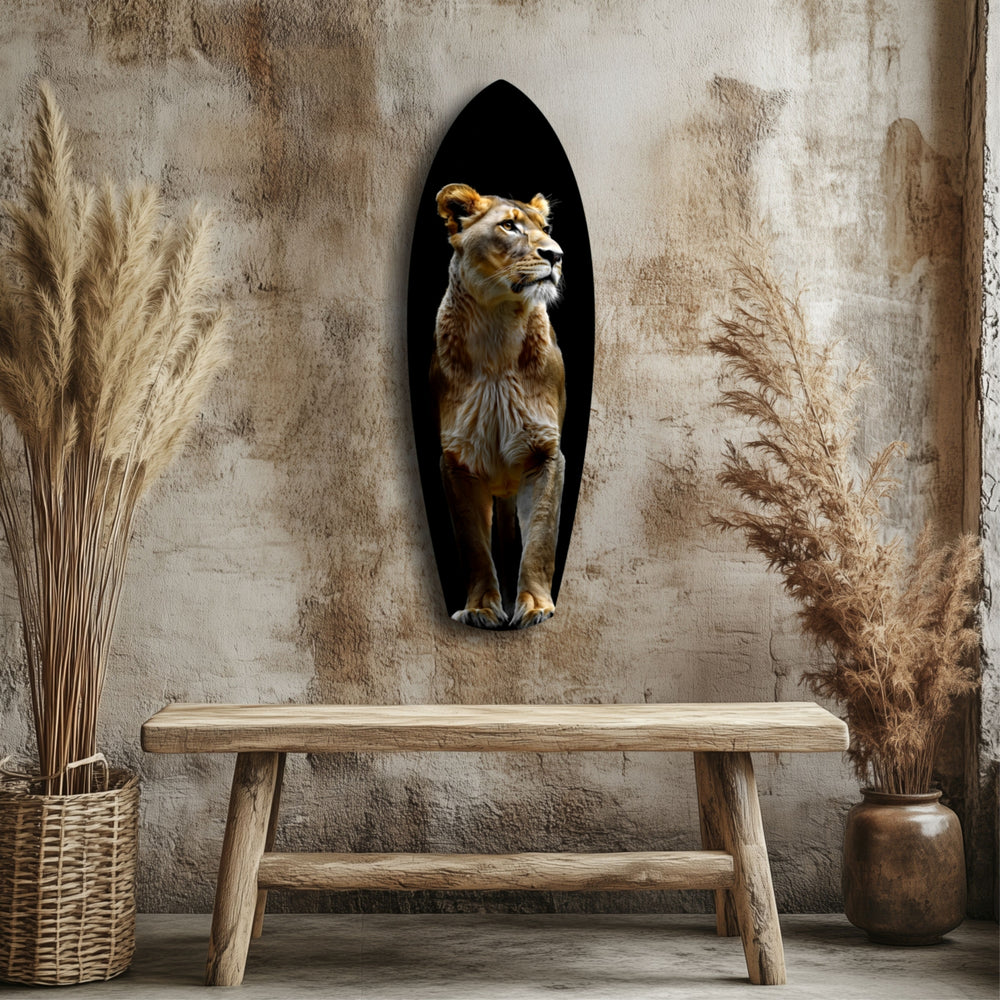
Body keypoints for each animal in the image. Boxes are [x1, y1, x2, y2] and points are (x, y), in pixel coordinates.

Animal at [430, 183, 566, 629]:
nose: (557, 255)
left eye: (546, 229)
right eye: (509, 226)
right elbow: (473, 543)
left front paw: (536, 606)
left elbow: (540, 536)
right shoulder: (456, 461)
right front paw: (481, 608)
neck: (498, 330)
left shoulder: (545, 454)